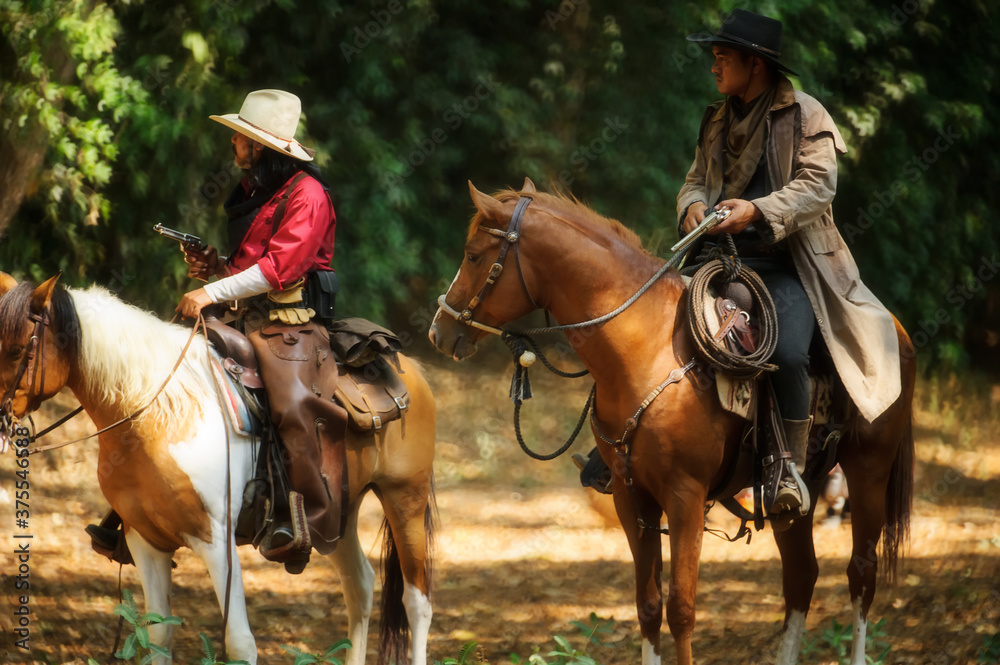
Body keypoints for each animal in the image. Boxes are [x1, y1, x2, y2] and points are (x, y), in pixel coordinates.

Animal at [0, 272, 438, 664]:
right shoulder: (146, 541)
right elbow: (158, 635)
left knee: (417, 601)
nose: (1, 421)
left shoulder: (217, 542)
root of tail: (409, 367)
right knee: (360, 585)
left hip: (404, 497)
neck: (161, 414)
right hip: (338, 514)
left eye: (18, 349)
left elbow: (240, 643)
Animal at [430, 182, 916, 664]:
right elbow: (648, 606)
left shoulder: (685, 497)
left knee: (861, 574)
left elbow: (681, 609)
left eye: (473, 255)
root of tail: (897, 328)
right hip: (801, 494)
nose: (438, 332)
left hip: (868, 470)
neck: (647, 348)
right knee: (801, 576)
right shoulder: (631, 497)